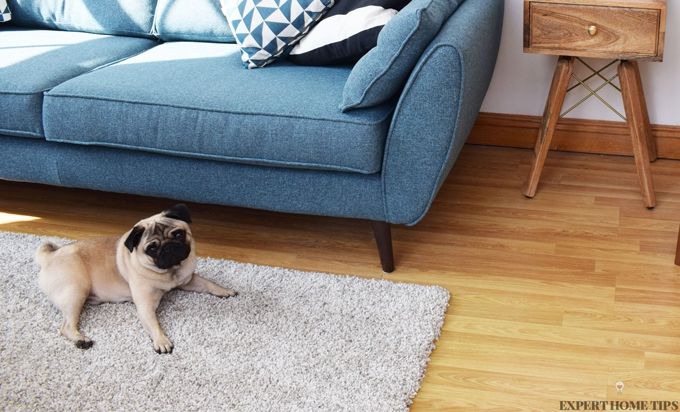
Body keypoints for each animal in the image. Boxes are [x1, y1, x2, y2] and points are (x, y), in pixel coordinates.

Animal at [35, 204, 236, 352]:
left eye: (179, 234)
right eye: (152, 249)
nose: (169, 247)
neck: (170, 272)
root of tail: (50, 256)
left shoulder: (188, 280)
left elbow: (208, 284)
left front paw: (224, 290)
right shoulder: (145, 306)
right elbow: (154, 324)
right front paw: (161, 341)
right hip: (76, 291)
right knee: (66, 326)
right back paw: (80, 340)